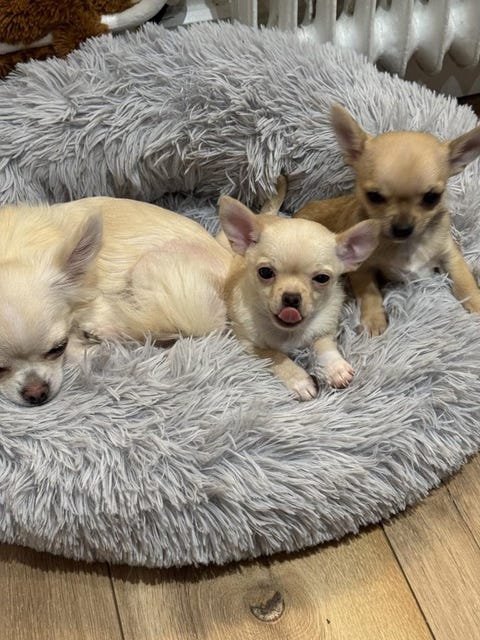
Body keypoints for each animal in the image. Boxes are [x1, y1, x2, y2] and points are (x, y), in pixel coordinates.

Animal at [218, 184, 379, 401]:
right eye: (265, 272)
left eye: (322, 278)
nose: (292, 297)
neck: (288, 333)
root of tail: (266, 216)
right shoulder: (247, 344)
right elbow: (274, 355)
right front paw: (300, 380)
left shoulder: (324, 328)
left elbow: (324, 344)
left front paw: (335, 368)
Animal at [295, 104, 480, 335]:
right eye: (374, 196)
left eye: (432, 197)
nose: (402, 228)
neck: (406, 246)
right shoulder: (362, 270)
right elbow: (369, 293)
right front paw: (373, 321)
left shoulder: (450, 255)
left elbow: (464, 280)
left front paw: (476, 304)